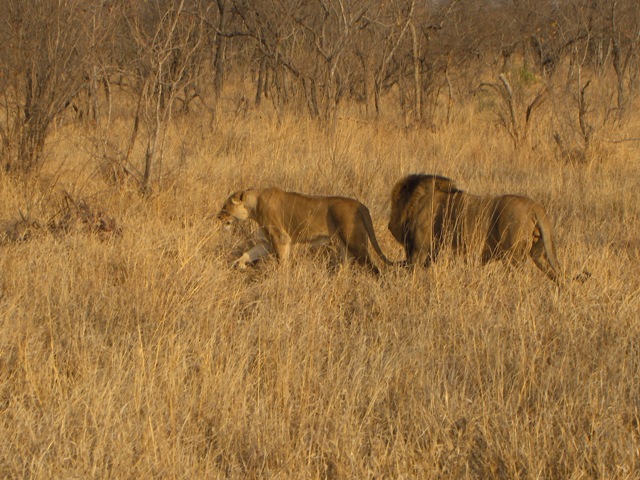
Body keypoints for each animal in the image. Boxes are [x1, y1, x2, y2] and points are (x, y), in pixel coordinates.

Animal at [218, 189, 392, 276]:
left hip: (356, 243)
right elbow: (249, 253)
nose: (218, 216)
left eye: (225, 207)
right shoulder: (267, 242)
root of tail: (361, 205)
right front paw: (239, 264)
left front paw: (282, 275)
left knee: (374, 268)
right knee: (346, 265)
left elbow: (281, 259)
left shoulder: (280, 238)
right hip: (345, 246)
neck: (253, 207)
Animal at [384, 174, 560, 284]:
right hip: (539, 254)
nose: (389, 226)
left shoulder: (419, 252)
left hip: (512, 258)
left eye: (394, 205)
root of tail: (535, 207)